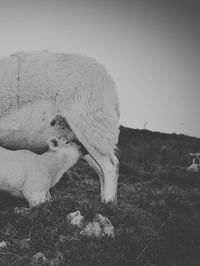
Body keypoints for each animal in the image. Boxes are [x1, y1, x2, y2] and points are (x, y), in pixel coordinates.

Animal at [0, 51, 119, 204]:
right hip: (85, 136)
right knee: (100, 169)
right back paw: (105, 200)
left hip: (92, 124)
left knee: (110, 165)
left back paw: (108, 202)